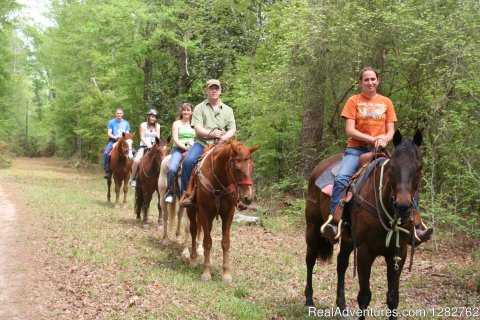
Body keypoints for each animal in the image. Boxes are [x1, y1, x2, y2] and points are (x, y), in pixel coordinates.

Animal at [187, 141, 258, 282]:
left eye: (252, 167)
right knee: (193, 231)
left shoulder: (228, 213)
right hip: (192, 209)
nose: (248, 198)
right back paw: (193, 260)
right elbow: (207, 242)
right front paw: (206, 272)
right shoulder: (204, 211)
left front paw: (226, 273)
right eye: (237, 168)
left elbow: (225, 243)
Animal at [306, 129, 422, 318]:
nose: (403, 207)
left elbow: (393, 298)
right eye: (392, 167)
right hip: (313, 228)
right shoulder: (364, 253)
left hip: (347, 239)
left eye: (419, 168)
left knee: (341, 264)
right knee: (310, 259)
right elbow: (364, 296)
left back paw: (342, 307)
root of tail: (318, 168)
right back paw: (309, 300)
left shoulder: (399, 254)